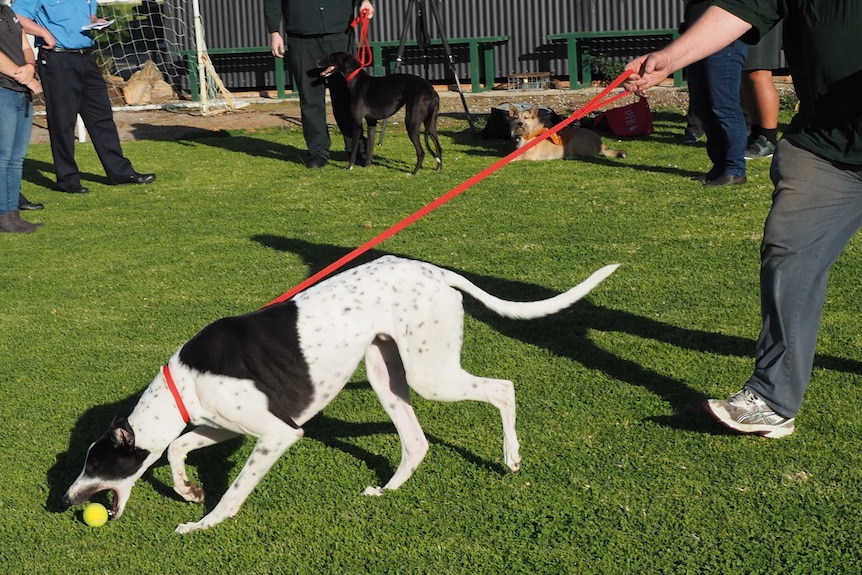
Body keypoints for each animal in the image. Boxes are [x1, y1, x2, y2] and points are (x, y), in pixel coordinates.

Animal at [64, 258, 616, 536]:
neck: (182, 382)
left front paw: (204, 521)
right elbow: (177, 446)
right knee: (416, 442)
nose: (65, 501)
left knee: (503, 388)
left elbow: (235, 490)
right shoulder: (220, 423)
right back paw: (387, 491)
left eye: (97, 464)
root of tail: (436, 271)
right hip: (386, 374)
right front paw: (189, 490)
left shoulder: (278, 433)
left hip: (429, 375)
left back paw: (511, 456)